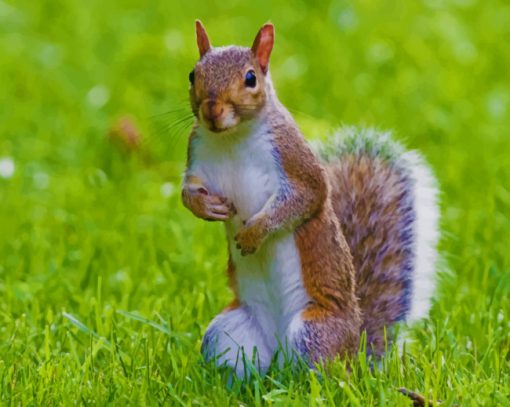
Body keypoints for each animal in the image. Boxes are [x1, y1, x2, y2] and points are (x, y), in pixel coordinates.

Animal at [181, 21, 440, 380]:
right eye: (193, 74)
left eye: (250, 78)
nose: (211, 110)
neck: (231, 137)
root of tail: (355, 353)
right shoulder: (196, 157)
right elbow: (187, 192)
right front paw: (207, 208)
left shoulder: (294, 161)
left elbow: (305, 199)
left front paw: (253, 233)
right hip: (227, 333)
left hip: (313, 332)